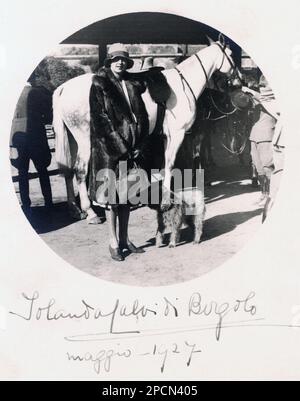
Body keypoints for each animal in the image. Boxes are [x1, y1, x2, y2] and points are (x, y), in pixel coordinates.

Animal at [52, 40, 234, 223]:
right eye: (231, 55)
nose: (236, 82)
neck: (184, 85)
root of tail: (63, 88)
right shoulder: (180, 134)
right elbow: (175, 162)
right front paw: (168, 199)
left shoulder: (168, 137)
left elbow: (167, 164)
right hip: (85, 141)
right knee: (80, 171)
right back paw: (90, 211)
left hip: (73, 141)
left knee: (68, 171)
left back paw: (76, 209)